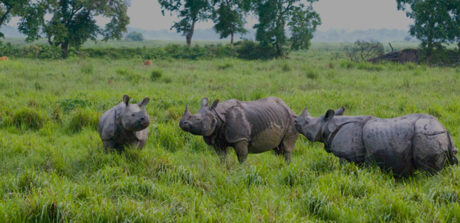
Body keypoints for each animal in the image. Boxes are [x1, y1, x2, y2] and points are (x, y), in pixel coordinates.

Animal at [294, 106, 456, 176]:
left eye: (307, 122)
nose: (295, 122)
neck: (328, 125)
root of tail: (444, 129)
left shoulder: (346, 155)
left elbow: (344, 170)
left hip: (427, 135)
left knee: (429, 174)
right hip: (436, 135)